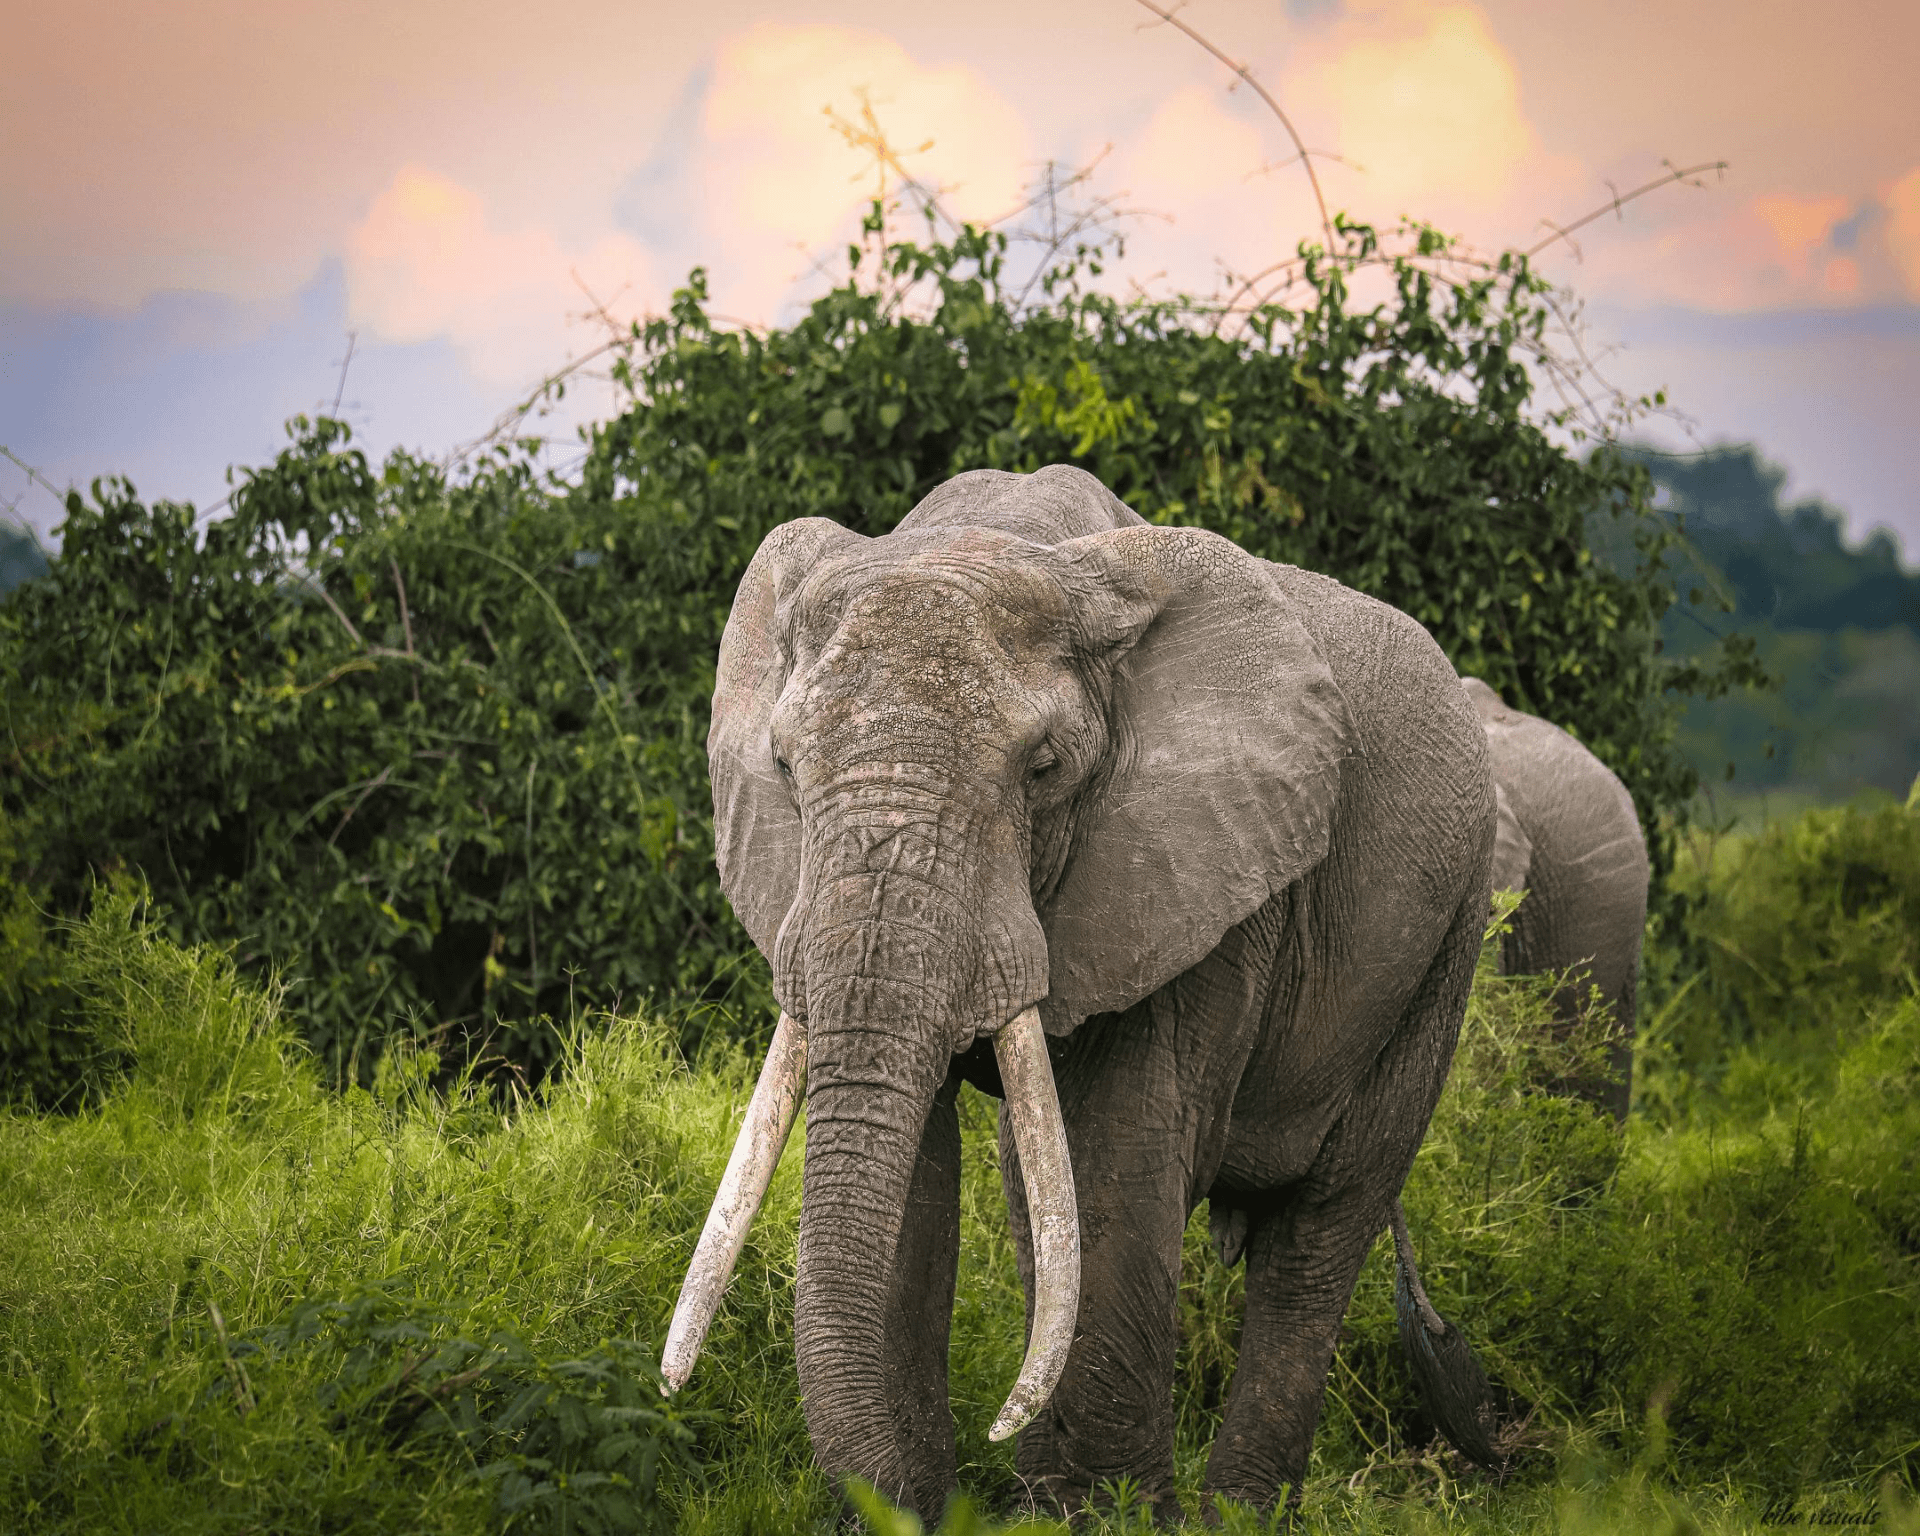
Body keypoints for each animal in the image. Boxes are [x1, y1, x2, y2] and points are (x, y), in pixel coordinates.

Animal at [662, 465, 1503, 1521]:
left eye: (1044, 770)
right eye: (783, 766)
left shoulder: (1205, 875)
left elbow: (1121, 1148)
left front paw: (1099, 1519)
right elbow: (923, 1166)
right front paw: (922, 1513)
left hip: (1450, 934)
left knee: (1321, 1229)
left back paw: (1237, 1515)